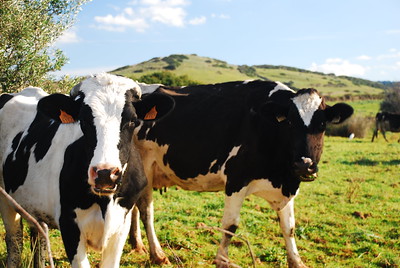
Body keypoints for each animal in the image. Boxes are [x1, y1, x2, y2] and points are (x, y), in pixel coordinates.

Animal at [0, 73, 174, 268]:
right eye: (83, 120)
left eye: (133, 121)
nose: (105, 174)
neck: (105, 203)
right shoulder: (69, 226)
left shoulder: (122, 224)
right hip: (5, 199)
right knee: (15, 241)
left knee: (38, 234)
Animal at [129, 80, 354, 266]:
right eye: (290, 123)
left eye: (322, 124)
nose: (303, 165)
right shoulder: (236, 180)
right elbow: (230, 226)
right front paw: (222, 261)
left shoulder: (287, 186)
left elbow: (289, 227)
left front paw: (297, 262)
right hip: (146, 165)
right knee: (146, 210)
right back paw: (157, 254)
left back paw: (137, 245)